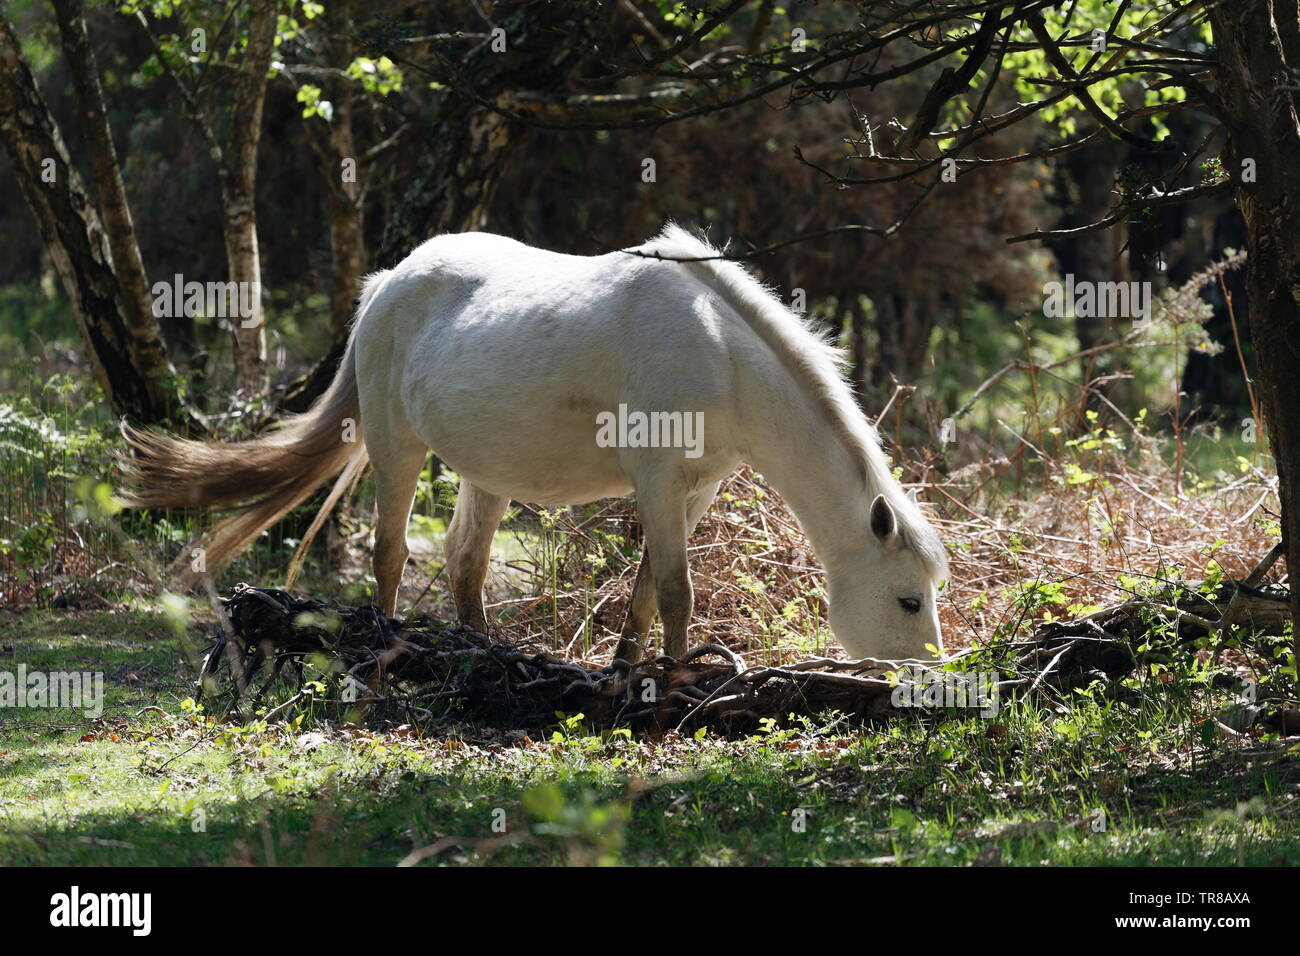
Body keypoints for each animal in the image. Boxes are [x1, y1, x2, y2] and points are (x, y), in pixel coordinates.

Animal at [124, 227, 946, 665]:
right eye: (908, 598)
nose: (932, 676)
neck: (719, 352)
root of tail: (389, 282)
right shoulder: (657, 481)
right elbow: (675, 591)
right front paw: (680, 682)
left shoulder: (694, 489)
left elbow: (645, 592)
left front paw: (627, 671)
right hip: (396, 448)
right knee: (390, 554)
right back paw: (386, 647)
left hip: (485, 473)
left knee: (465, 566)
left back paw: (479, 655)